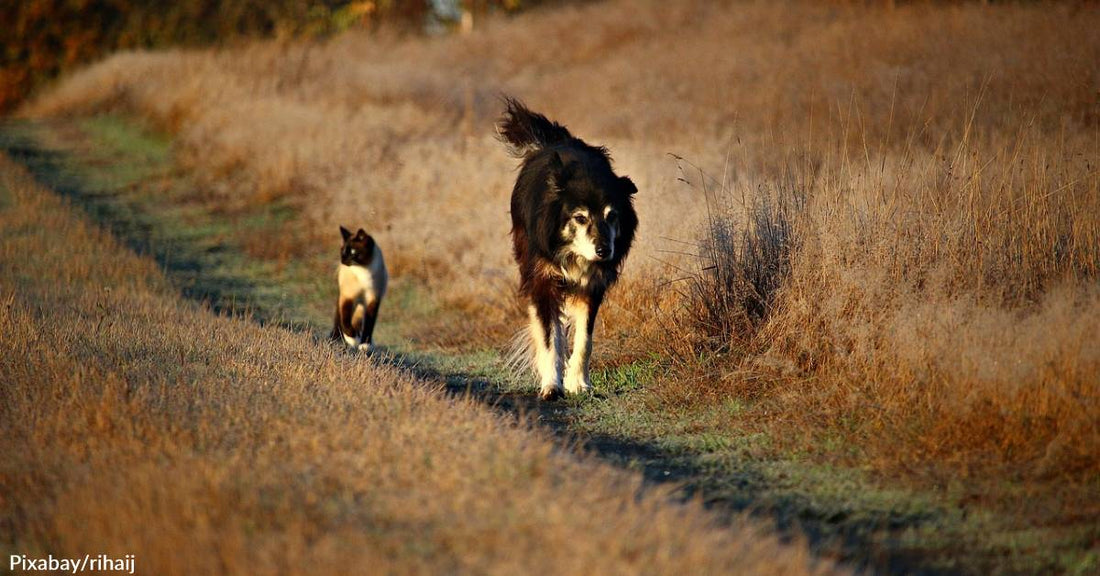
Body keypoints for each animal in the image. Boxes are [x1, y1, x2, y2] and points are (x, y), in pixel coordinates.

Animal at [497, 97, 642, 400]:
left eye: (612, 216)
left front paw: (580, 384)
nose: (604, 251)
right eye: (580, 218)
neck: (573, 254)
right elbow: (549, 337)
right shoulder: (543, 278)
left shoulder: (592, 286)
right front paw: (552, 386)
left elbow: (585, 338)